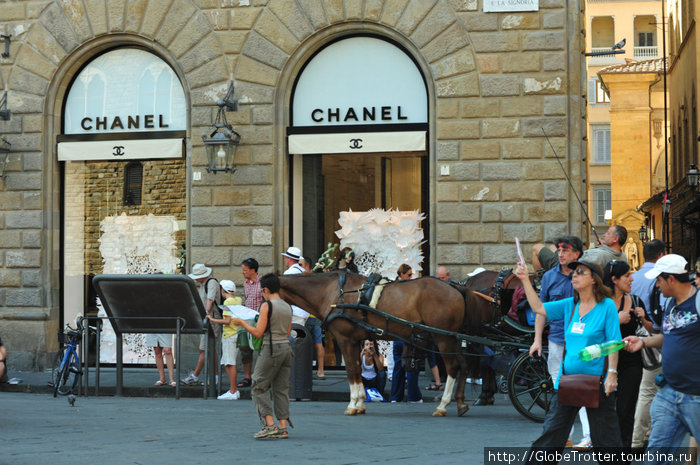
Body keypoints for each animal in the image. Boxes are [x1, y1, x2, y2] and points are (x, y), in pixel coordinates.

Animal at [276, 270, 484, 416]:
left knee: (453, 367)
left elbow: (351, 369)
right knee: (463, 365)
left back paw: (443, 405)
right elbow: (357, 369)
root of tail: (457, 287)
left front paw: (352, 404)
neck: (333, 292)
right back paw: (460, 403)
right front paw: (360, 402)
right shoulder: (356, 340)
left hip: (443, 339)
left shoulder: (344, 338)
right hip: (452, 339)